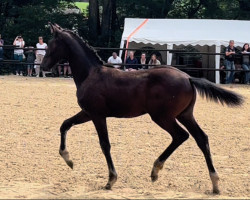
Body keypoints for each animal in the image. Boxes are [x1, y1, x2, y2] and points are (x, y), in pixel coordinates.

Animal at [40, 23, 242, 194]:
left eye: (51, 44)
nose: (43, 66)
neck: (90, 73)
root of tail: (188, 77)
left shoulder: (97, 115)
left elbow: (105, 144)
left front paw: (111, 180)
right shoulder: (87, 113)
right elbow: (65, 124)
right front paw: (68, 160)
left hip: (162, 117)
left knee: (181, 136)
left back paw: (156, 170)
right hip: (185, 115)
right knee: (201, 138)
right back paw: (215, 184)